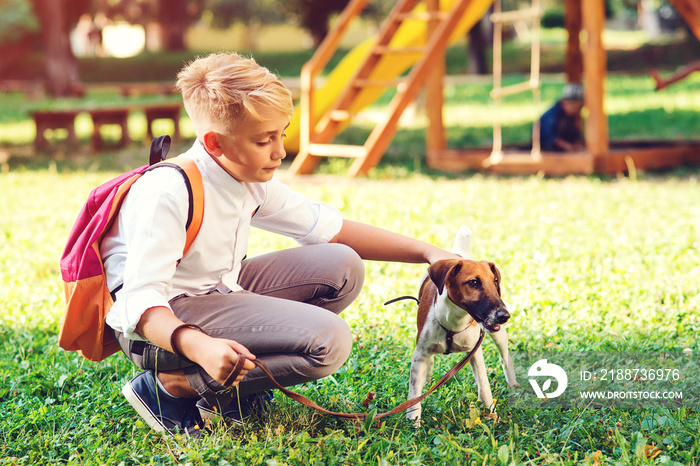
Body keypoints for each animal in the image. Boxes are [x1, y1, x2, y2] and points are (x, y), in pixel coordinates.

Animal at [404, 260, 520, 424]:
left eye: (495, 281)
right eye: (473, 282)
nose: (505, 316)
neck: (455, 321)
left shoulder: (475, 351)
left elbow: (484, 385)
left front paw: (491, 413)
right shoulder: (420, 354)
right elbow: (414, 395)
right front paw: (413, 424)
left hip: (499, 336)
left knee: (505, 358)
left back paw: (513, 387)